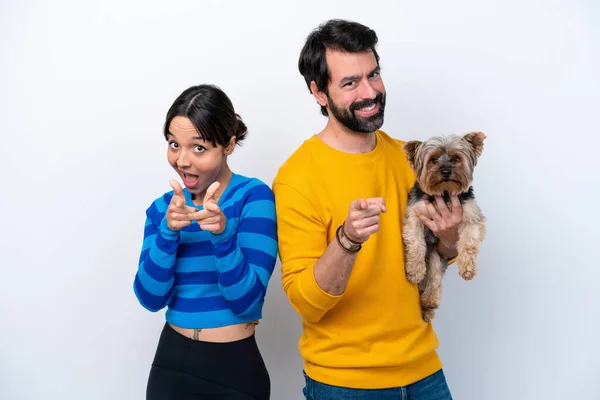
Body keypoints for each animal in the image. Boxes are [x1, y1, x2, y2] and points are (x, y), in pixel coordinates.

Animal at [400, 131, 486, 322]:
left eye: (455, 158)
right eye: (433, 159)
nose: (446, 171)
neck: (445, 193)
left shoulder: (470, 216)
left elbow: (469, 243)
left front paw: (468, 268)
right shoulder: (416, 214)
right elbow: (416, 243)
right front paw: (415, 270)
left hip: (435, 256)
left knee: (434, 277)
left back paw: (429, 303)